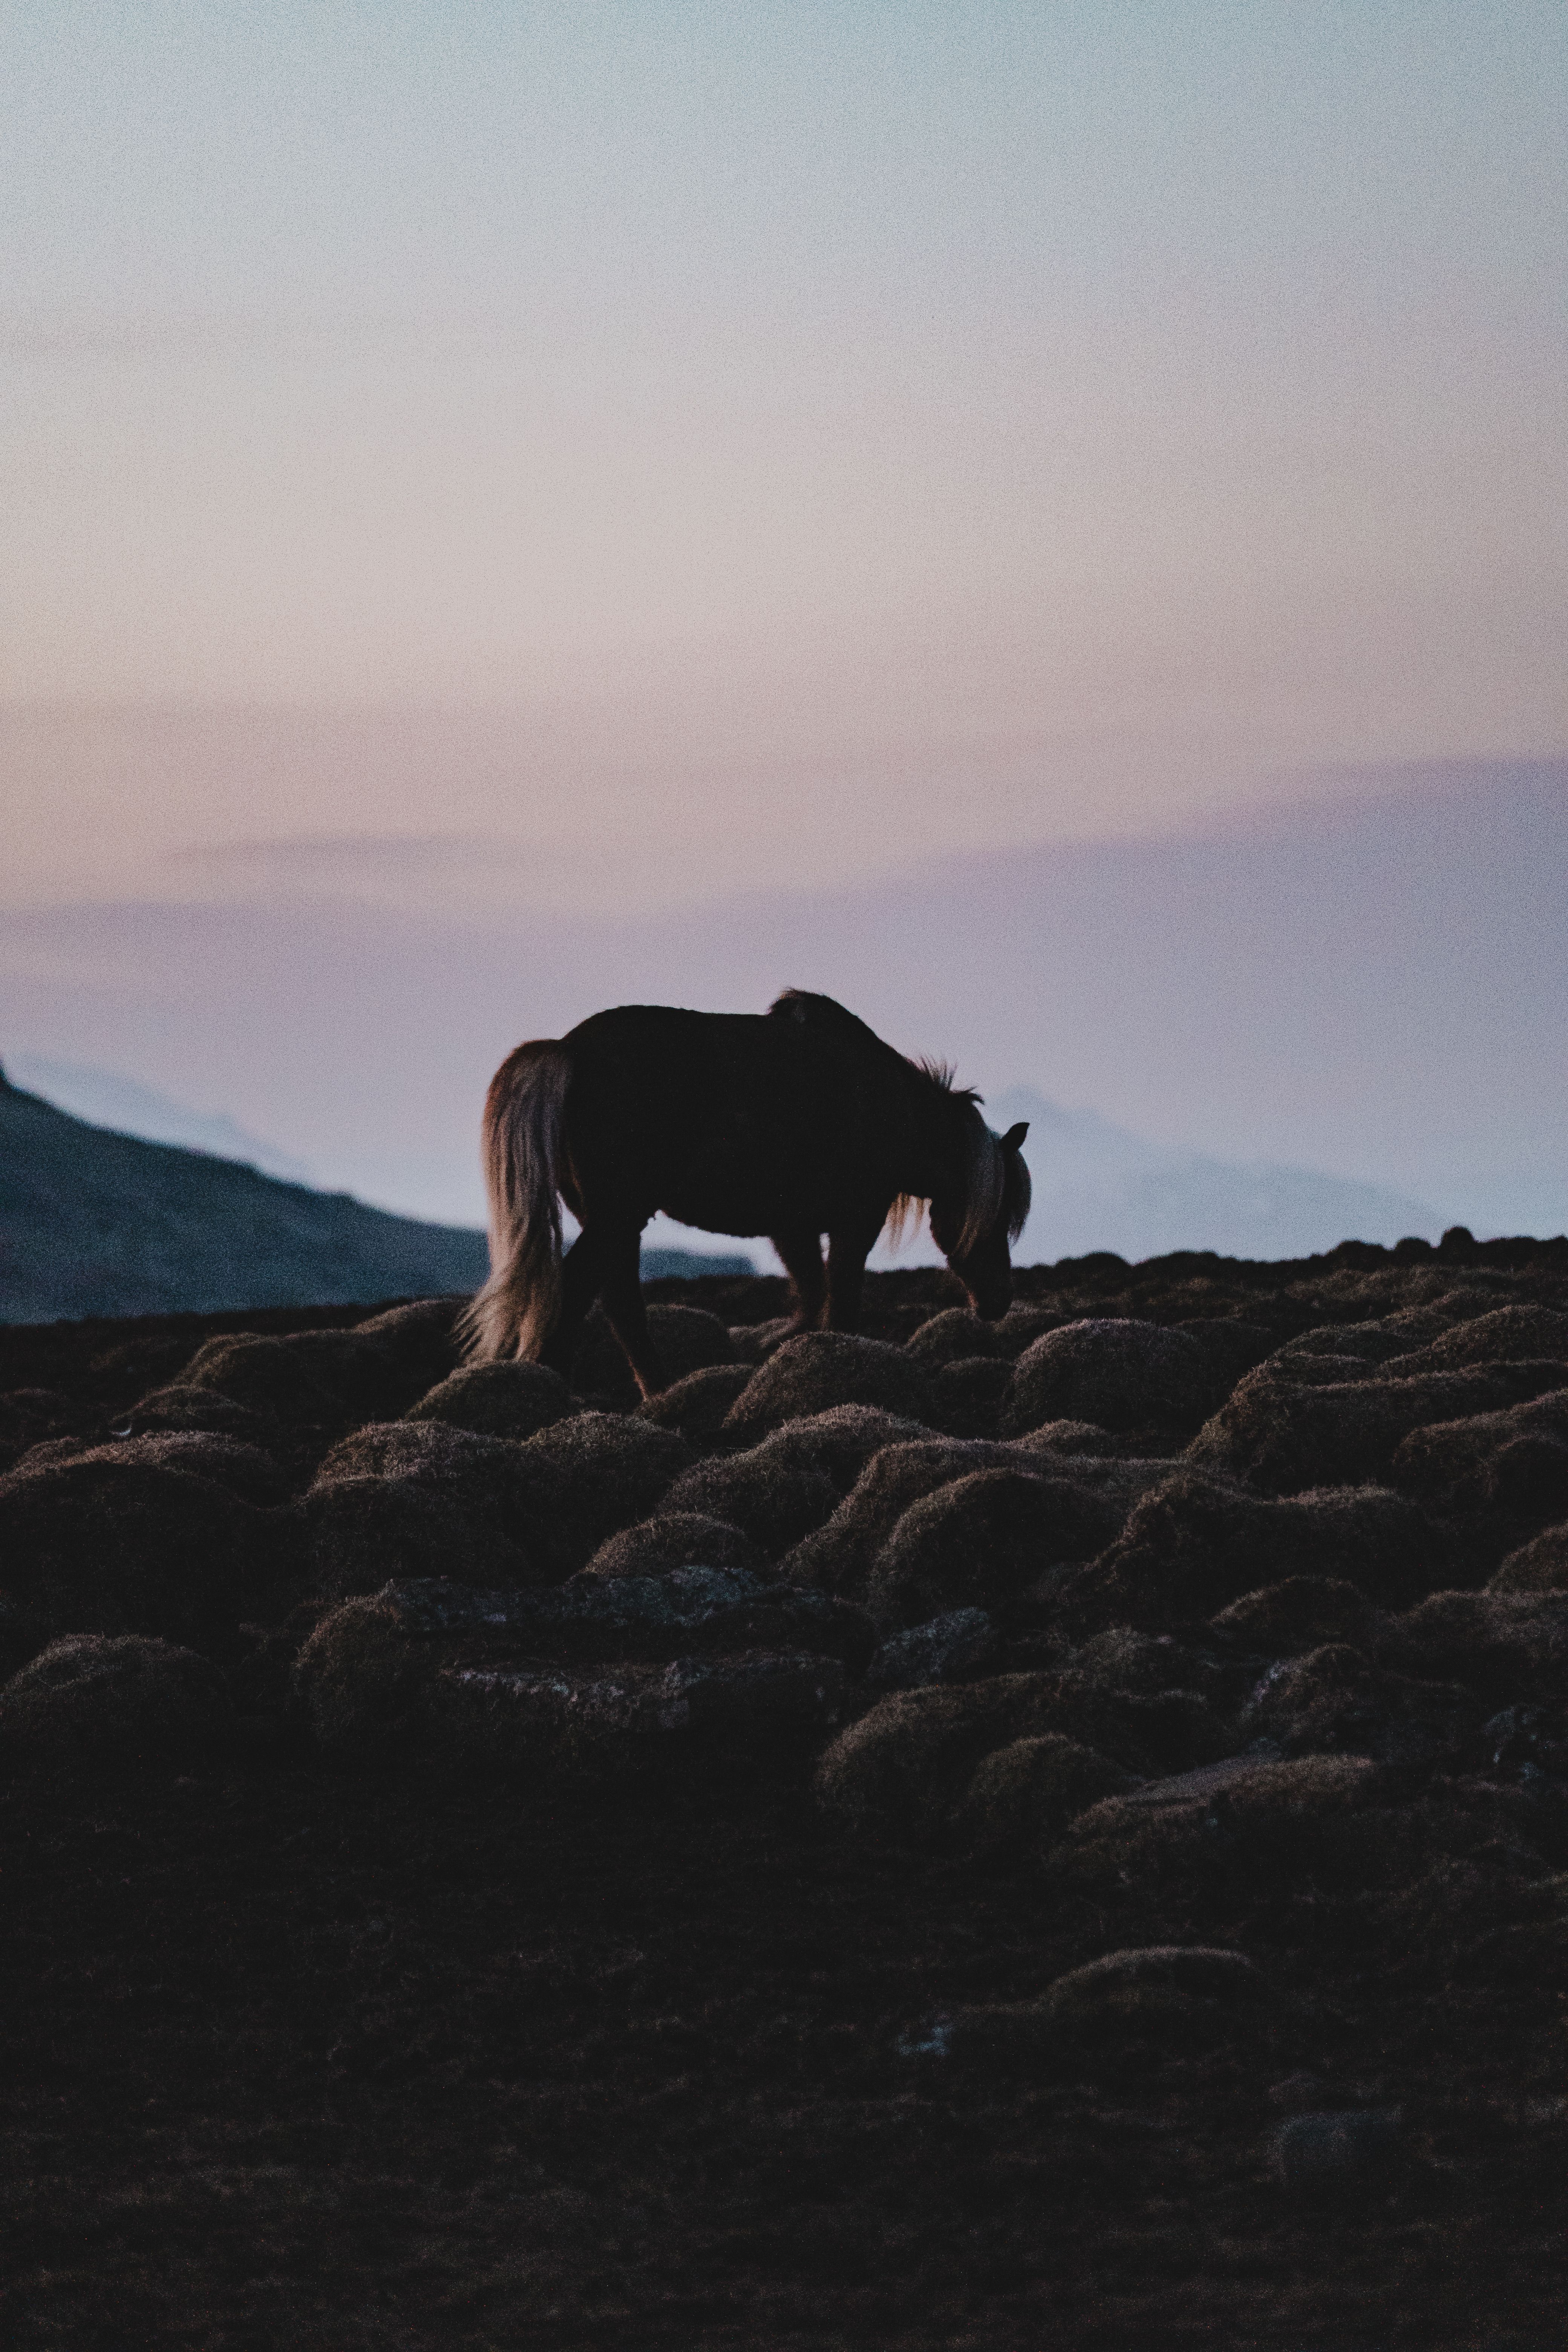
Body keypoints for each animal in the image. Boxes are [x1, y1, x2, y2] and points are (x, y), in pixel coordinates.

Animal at [461, 989, 1031, 1398]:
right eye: (997, 1212)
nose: (999, 1300)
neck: (898, 1111)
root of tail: (568, 1050)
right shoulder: (856, 1220)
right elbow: (841, 1301)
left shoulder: (793, 1228)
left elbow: (813, 1298)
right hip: (616, 1217)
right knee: (585, 1291)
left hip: (612, 1221)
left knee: (618, 1301)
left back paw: (654, 1393)